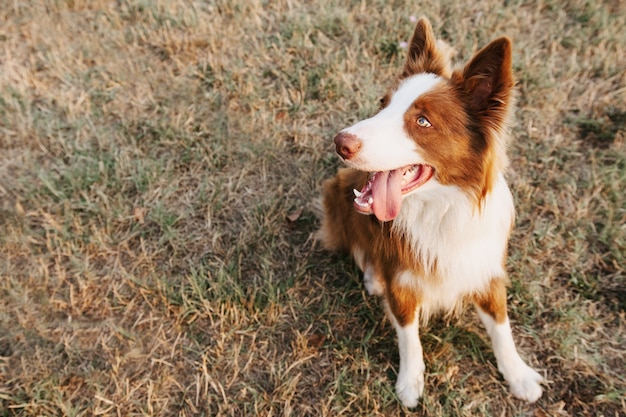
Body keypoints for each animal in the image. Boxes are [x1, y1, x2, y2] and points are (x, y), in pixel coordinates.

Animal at [316, 17, 540, 408]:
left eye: (422, 122)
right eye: (383, 104)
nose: (340, 142)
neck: (442, 209)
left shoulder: (485, 268)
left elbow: (501, 326)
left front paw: (519, 375)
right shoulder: (402, 282)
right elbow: (409, 336)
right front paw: (410, 382)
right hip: (339, 189)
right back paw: (373, 278)